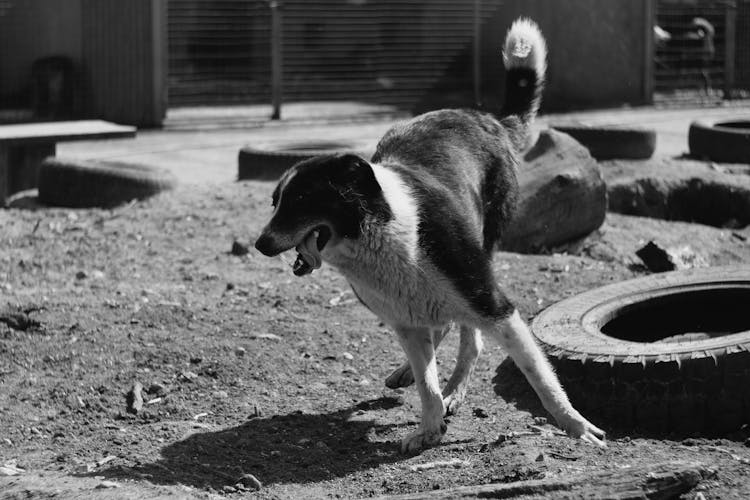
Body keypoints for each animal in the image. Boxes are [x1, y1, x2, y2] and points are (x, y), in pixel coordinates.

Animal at [256, 18, 608, 454]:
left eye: (301, 200)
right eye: (276, 201)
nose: (261, 244)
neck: (381, 228)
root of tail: (487, 119)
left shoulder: (495, 305)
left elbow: (539, 375)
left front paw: (575, 425)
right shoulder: (405, 322)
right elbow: (427, 384)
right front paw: (428, 427)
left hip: (482, 254)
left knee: (470, 339)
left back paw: (456, 389)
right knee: (443, 329)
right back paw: (419, 378)